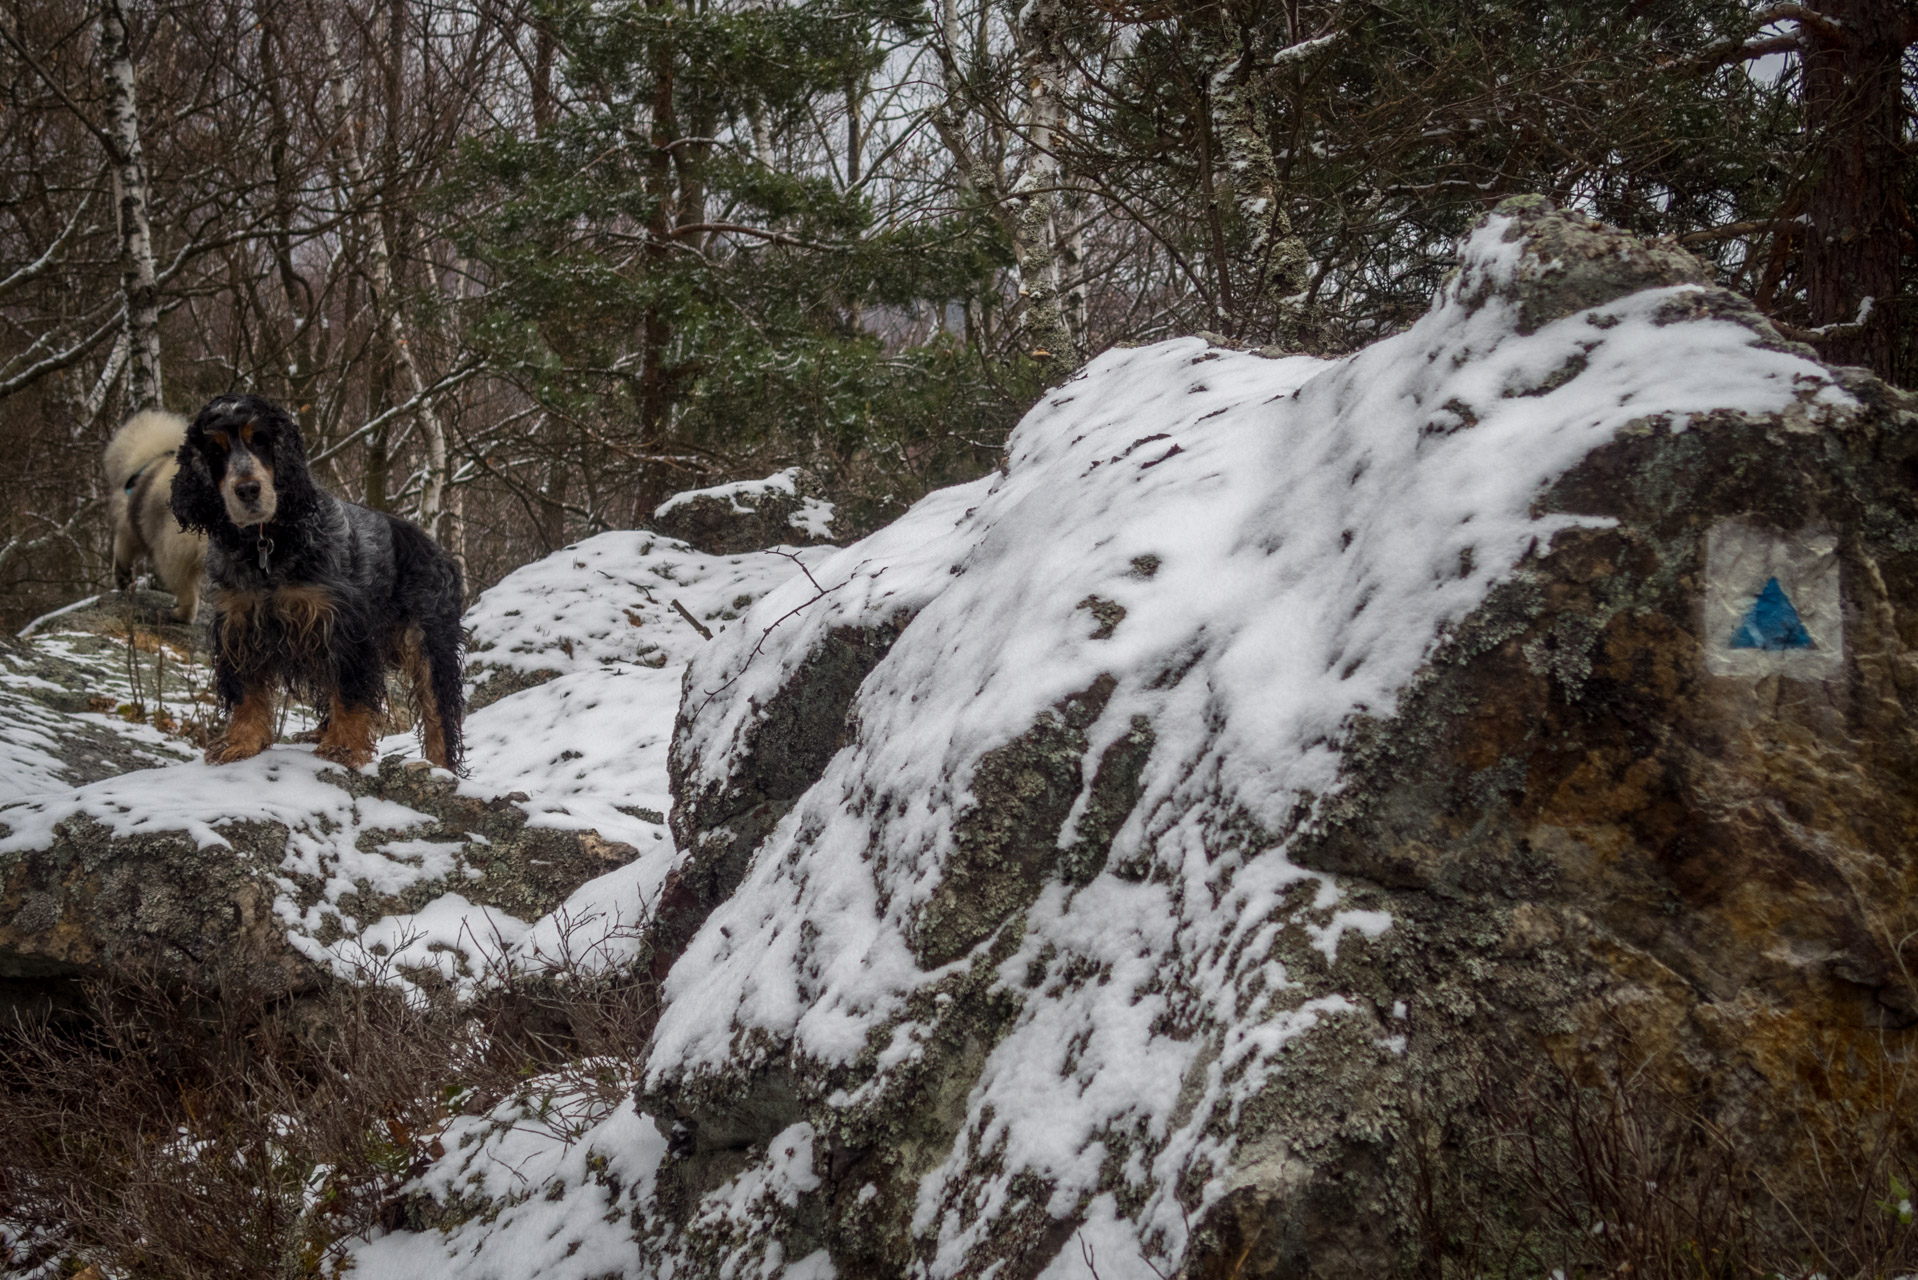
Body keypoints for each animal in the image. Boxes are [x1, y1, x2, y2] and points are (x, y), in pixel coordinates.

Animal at [104, 408, 205, 621]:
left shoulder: (127, 528)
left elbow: (121, 550)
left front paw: (122, 578)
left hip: (172, 548)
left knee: (185, 588)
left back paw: (181, 614)